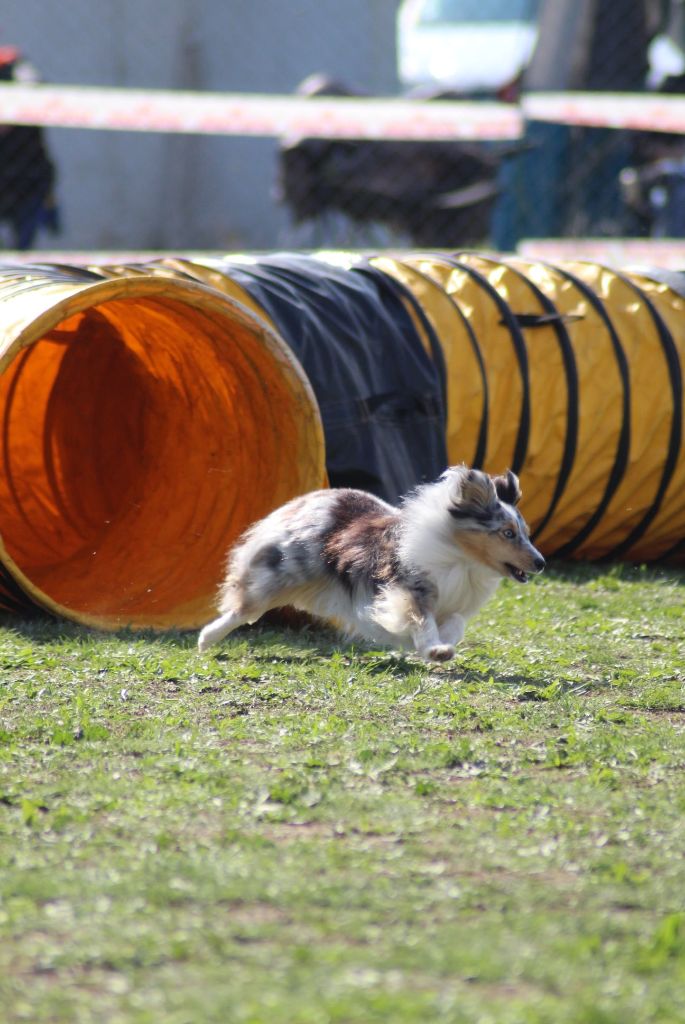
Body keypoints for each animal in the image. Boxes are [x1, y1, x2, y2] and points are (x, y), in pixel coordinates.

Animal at [197, 466, 544, 663]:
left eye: (525, 532)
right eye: (507, 533)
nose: (540, 563)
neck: (462, 558)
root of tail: (316, 497)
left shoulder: (453, 604)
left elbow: (454, 624)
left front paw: (443, 647)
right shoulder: (407, 590)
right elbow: (423, 621)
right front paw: (434, 650)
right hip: (284, 573)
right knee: (243, 609)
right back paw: (205, 639)